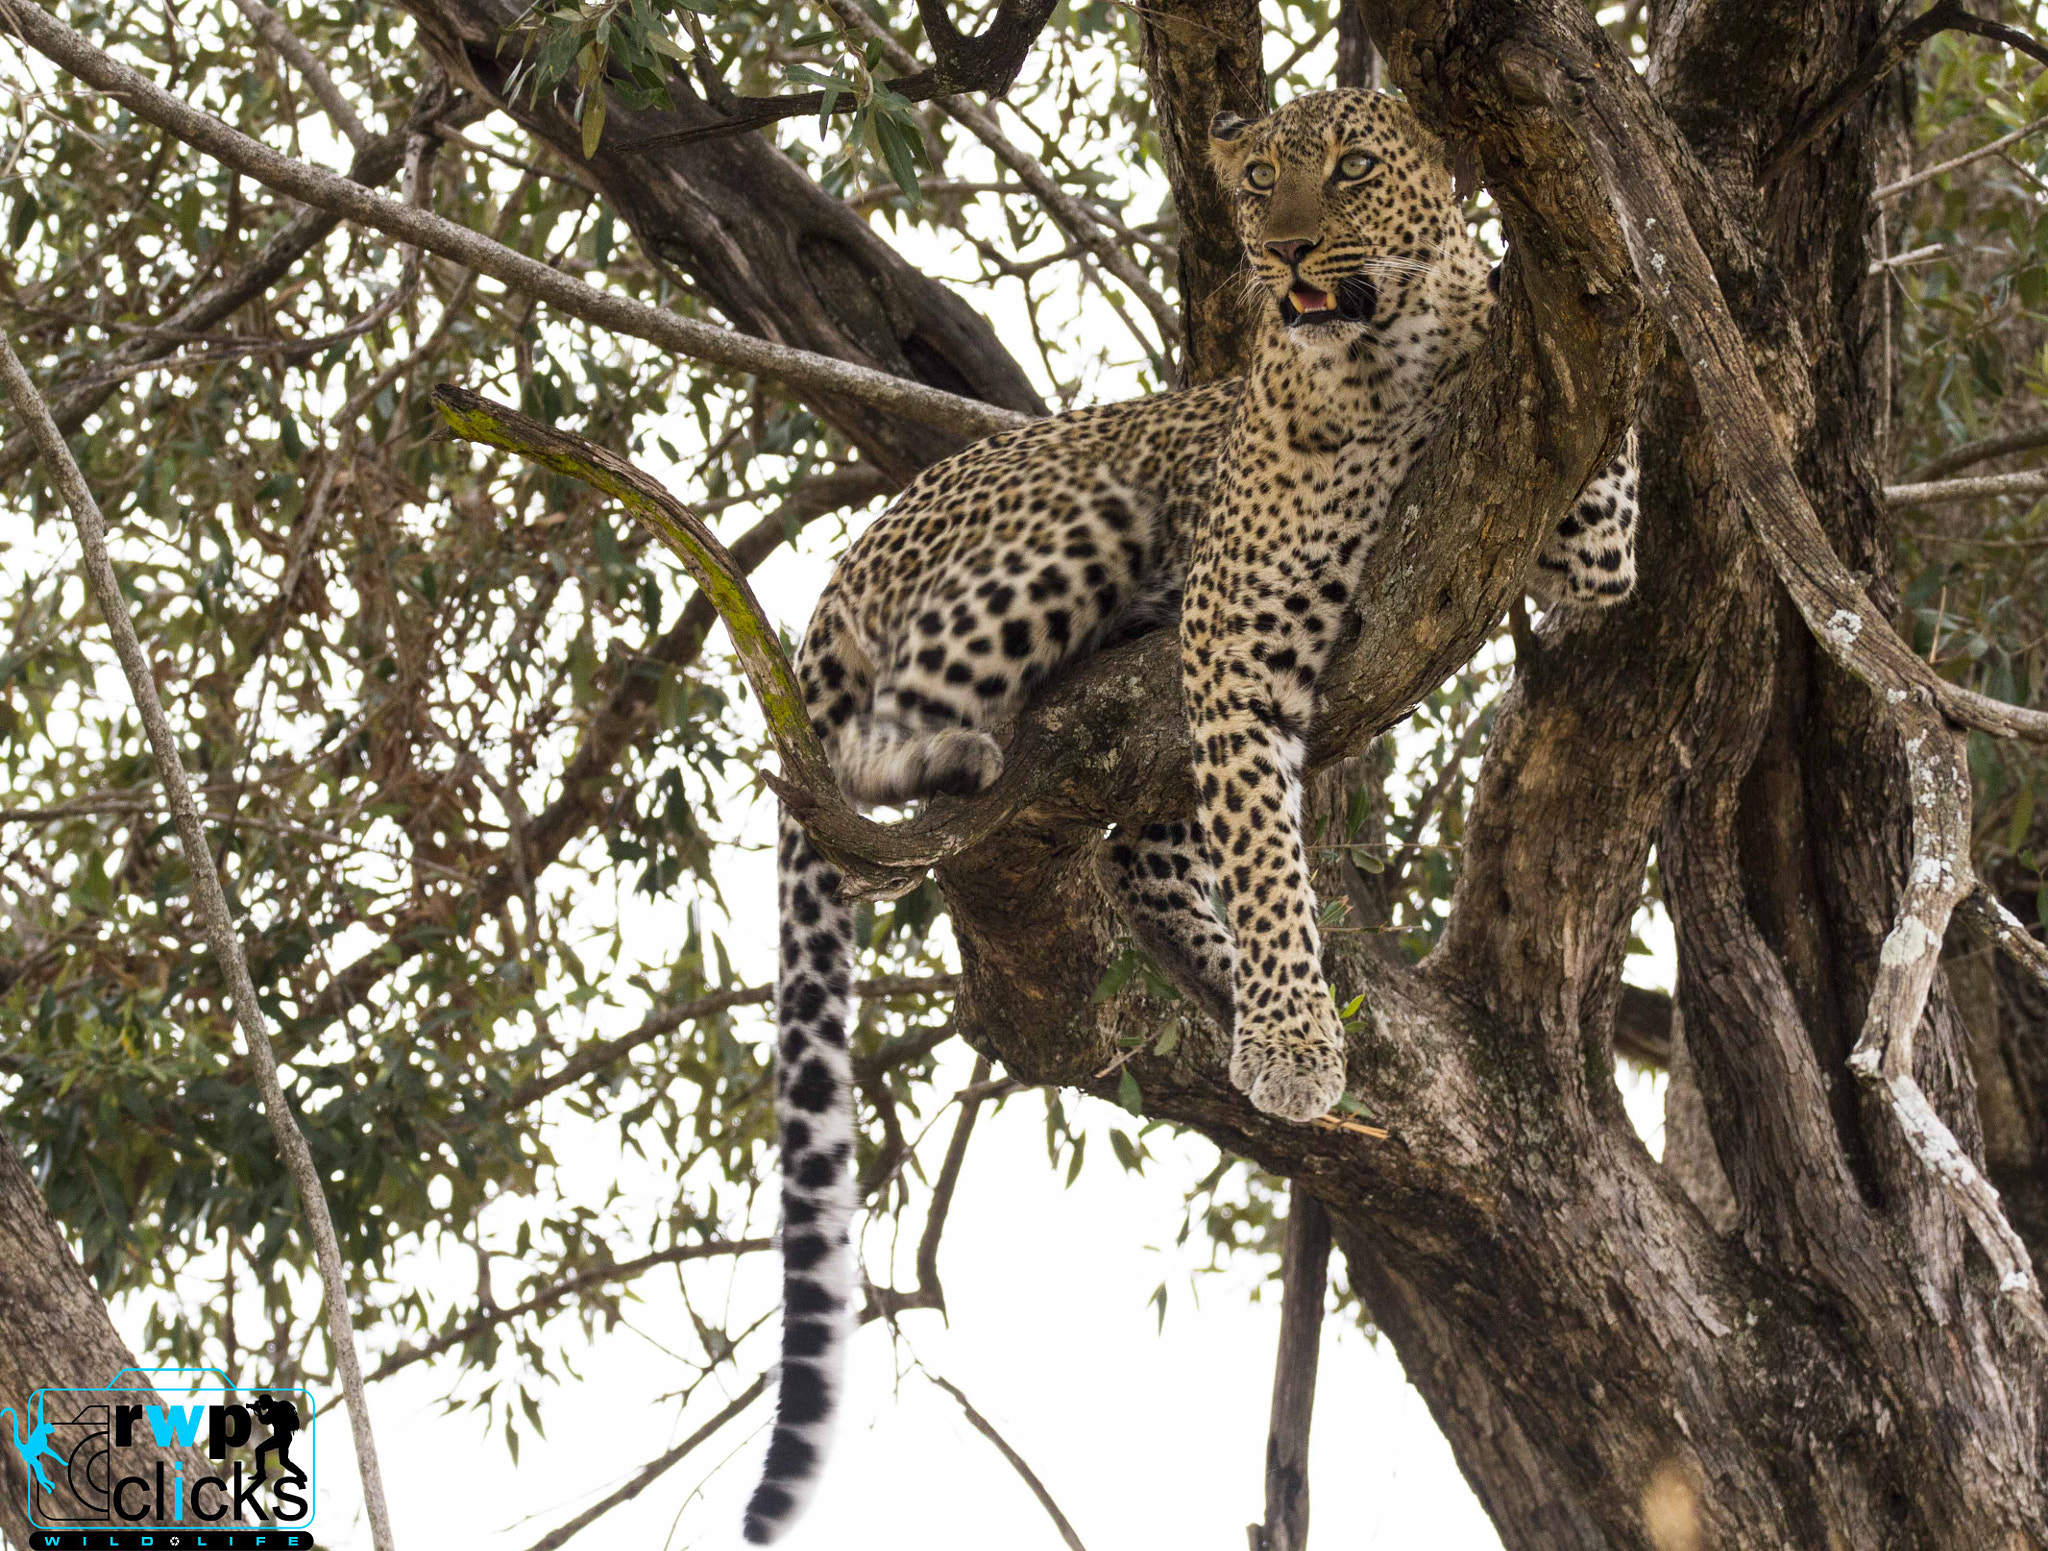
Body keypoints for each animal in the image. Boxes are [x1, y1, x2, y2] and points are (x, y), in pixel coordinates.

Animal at [742, 87, 1639, 1544]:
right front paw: (1285, 1041)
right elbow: (1269, 860)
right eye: (1262, 176)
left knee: (1139, 853)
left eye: (1352, 167)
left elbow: (1603, 502)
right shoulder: (1238, 627)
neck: (1387, 355)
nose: (1282, 254)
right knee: (884, 766)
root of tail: (841, 568)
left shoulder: (1566, 529)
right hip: (1077, 525)